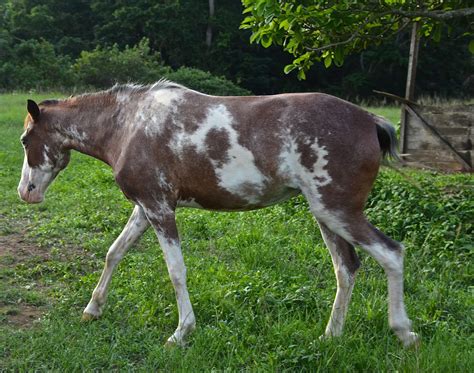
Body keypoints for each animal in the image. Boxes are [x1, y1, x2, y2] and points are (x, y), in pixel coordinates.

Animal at [17, 80, 418, 346]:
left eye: (24, 140)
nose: (26, 192)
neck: (129, 125)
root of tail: (371, 120)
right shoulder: (145, 208)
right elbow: (114, 252)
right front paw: (93, 309)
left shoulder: (160, 209)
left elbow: (176, 272)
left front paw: (181, 332)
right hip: (326, 216)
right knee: (346, 268)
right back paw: (331, 336)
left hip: (337, 212)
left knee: (392, 254)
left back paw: (404, 332)